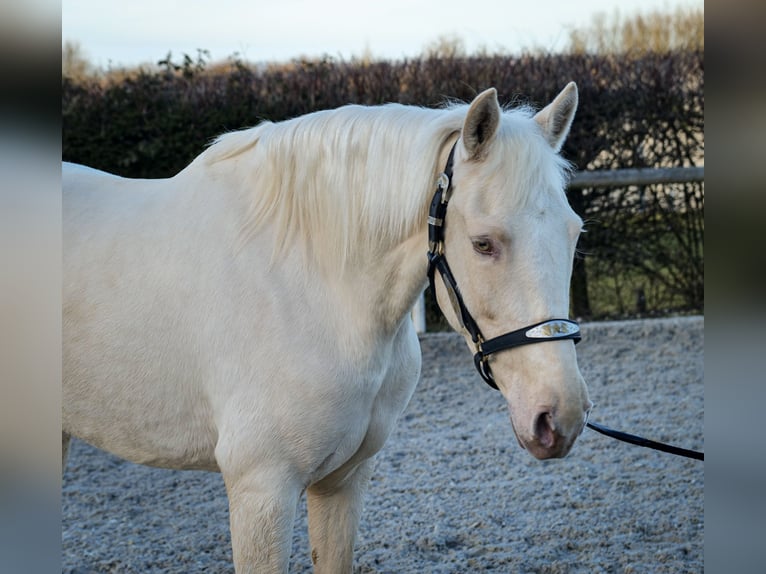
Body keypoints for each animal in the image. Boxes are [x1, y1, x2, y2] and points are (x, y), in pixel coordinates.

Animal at [64, 83, 592, 572]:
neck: (309, 286)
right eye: (483, 243)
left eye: (574, 232)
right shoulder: (262, 490)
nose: (560, 417)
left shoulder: (342, 482)